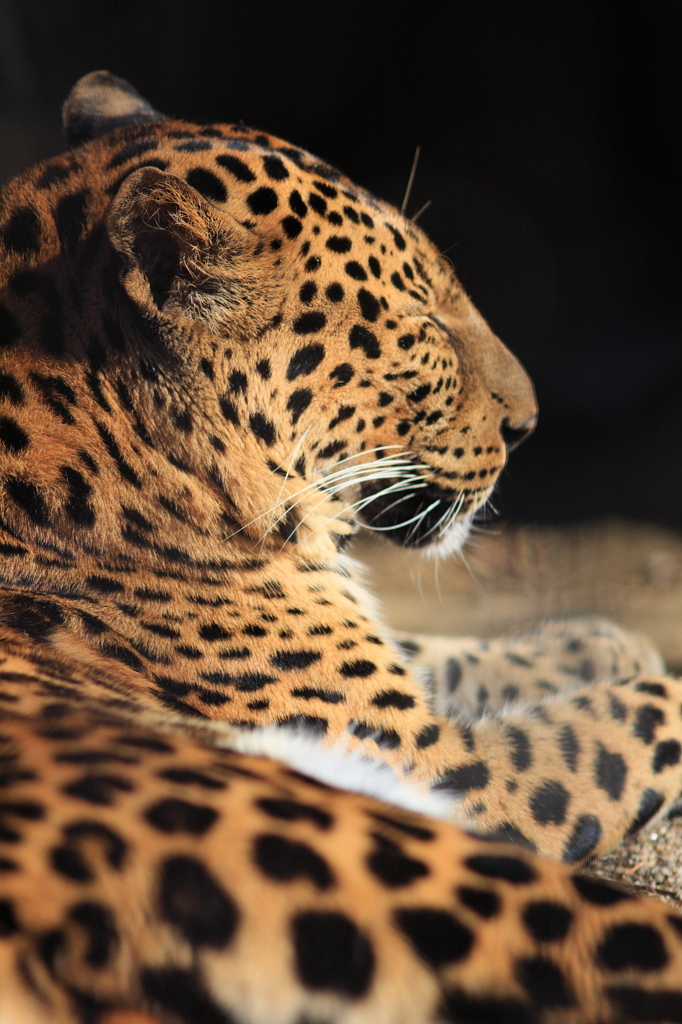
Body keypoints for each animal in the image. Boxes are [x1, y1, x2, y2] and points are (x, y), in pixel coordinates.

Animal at [0, 68, 679, 1019]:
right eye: (424, 320)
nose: (529, 422)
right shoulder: (450, 767)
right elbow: (619, 726)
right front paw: (645, 674)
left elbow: (450, 653)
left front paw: (600, 641)